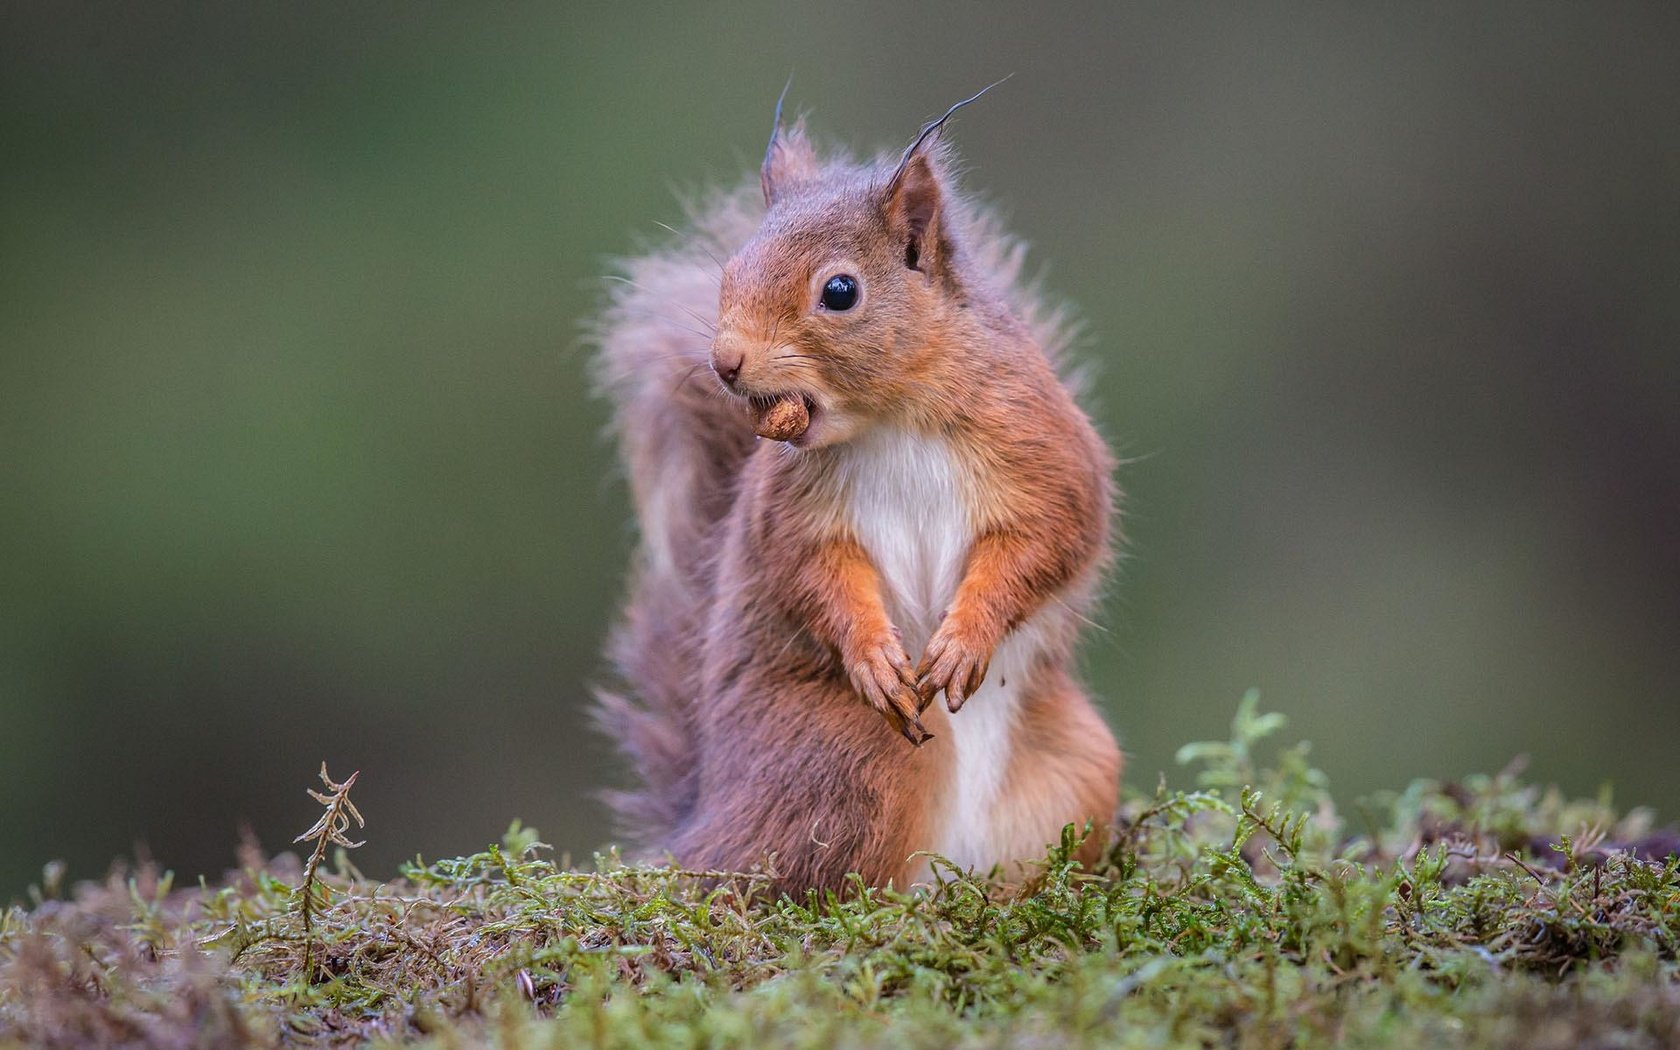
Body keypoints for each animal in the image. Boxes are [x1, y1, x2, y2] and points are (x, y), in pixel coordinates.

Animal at [598, 91, 1122, 893]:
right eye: (730, 269)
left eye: (839, 292)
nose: (724, 363)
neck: (891, 417)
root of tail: (703, 821)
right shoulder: (790, 508)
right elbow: (812, 572)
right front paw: (873, 656)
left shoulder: (1041, 449)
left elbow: (1048, 538)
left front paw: (965, 640)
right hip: (855, 756)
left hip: (1077, 766)